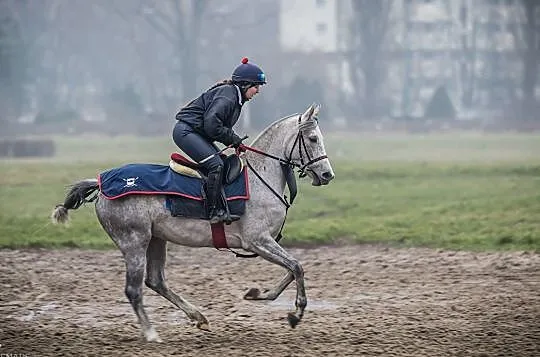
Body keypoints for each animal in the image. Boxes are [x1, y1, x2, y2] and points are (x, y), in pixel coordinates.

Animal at [52, 102, 336, 340]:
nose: (327, 175)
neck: (259, 177)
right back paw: (151, 334)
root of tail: (101, 183)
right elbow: (296, 267)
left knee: (155, 281)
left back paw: (198, 317)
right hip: (134, 241)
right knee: (134, 290)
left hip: (156, 239)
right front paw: (296, 313)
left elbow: (292, 269)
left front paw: (258, 294)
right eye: (313, 138)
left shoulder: (263, 242)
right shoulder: (257, 240)